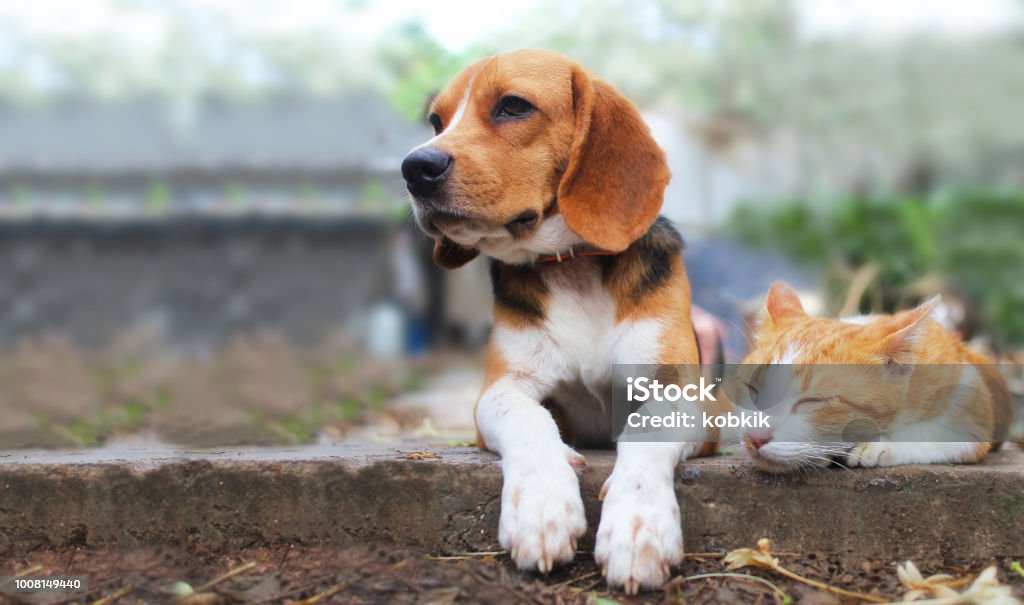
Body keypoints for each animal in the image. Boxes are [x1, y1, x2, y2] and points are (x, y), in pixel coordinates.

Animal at [401, 49, 720, 593]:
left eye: (513, 106)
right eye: (436, 122)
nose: (414, 167)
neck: (572, 266)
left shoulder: (683, 393)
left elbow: (646, 431)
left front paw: (638, 526)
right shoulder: (501, 389)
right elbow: (529, 420)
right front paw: (541, 507)